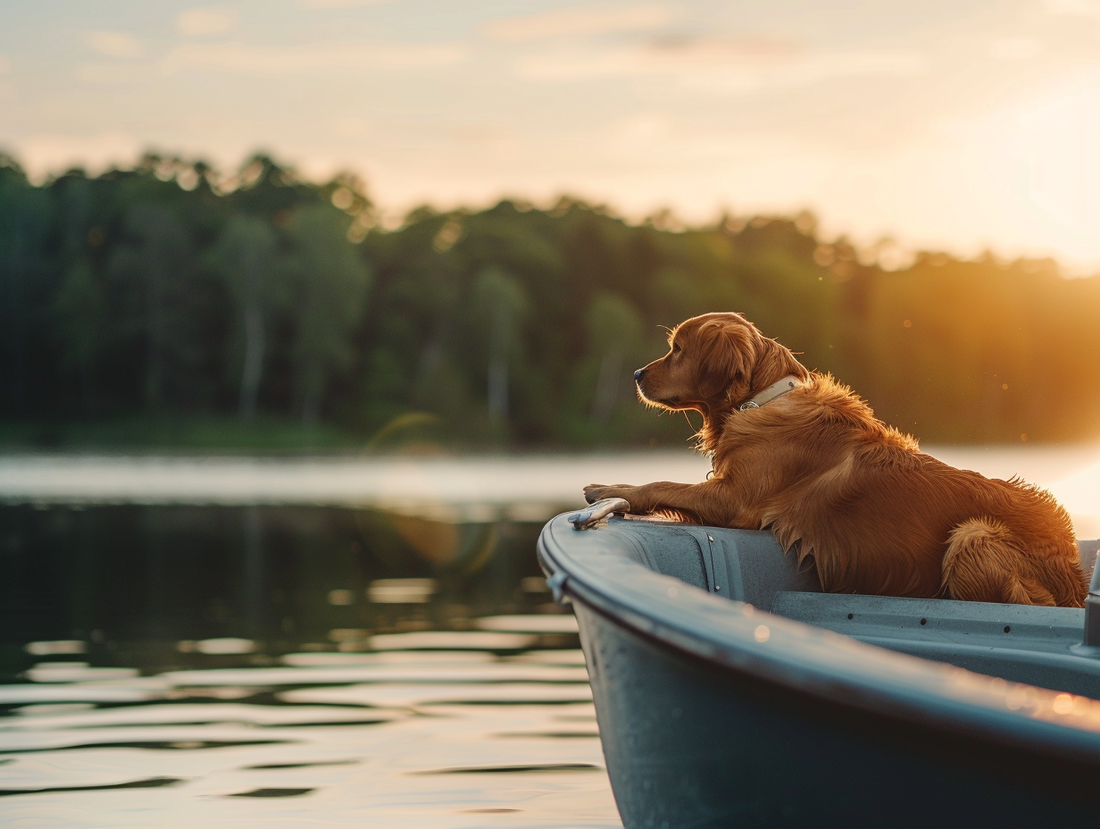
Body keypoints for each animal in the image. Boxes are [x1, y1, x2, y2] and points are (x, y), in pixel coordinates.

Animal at [589, 310, 1086, 606]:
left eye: (677, 349)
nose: (635, 373)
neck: (760, 401)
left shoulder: (736, 500)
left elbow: (663, 484)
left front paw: (610, 488)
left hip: (972, 537)